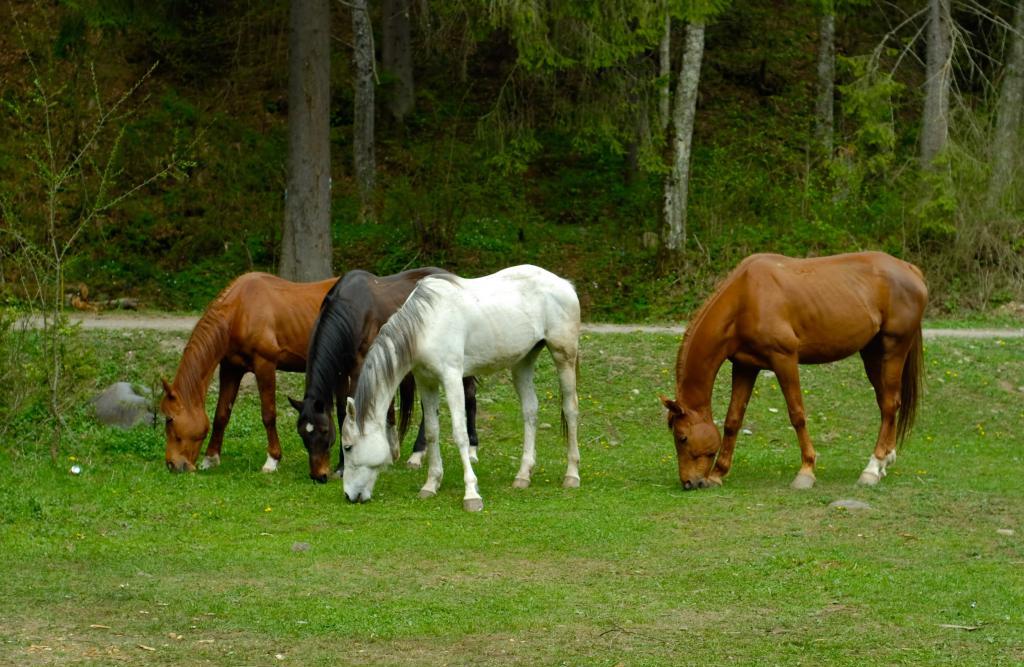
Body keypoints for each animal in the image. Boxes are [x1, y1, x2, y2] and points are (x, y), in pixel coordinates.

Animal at [159, 272, 335, 475]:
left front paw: (273, 459)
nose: (172, 464)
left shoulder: (265, 365)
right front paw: (210, 458)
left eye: (169, 419)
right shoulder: (231, 368)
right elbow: (221, 415)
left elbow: (268, 414)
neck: (240, 311)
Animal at [339, 264, 581, 512]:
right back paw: (523, 476)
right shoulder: (426, 382)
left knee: (570, 409)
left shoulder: (452, 378)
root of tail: (564, 284)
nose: (349, 495)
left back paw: (571, 475)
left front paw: (471, 495)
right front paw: (431, 484)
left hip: (564, 356)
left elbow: (460, 433)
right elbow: (432, 431)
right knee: (530, 411)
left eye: (348, 447)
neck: (427, 324)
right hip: (523, 362)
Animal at [663, 253, 929, 493]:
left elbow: (797, 415)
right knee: (886, 404)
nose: (689, 483)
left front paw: (806, 471)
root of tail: (911, 270)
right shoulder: (745, 366)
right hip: (872, 354)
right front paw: (718, 474)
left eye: (682, 437)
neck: (745, 297)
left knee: (890, 404)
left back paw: (872, 468)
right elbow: (732, 420)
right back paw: (885, 461)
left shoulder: (785, 359)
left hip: (894, 350)